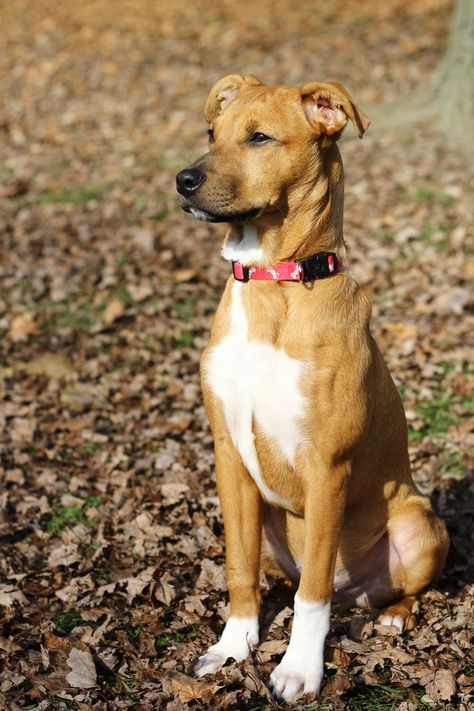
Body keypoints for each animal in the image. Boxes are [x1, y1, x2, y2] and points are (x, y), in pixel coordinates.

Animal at [174, 75, 448, 704]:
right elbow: (238, 567)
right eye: (211, 132)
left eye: (259, 138)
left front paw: (299, 669)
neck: (273, 284)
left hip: (421, 524)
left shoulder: (327, 466)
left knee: (385, 587)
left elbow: (313, 595)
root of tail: (360, 592)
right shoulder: (229, 456)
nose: (183, 179)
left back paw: (394, 616)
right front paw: (234, 646)